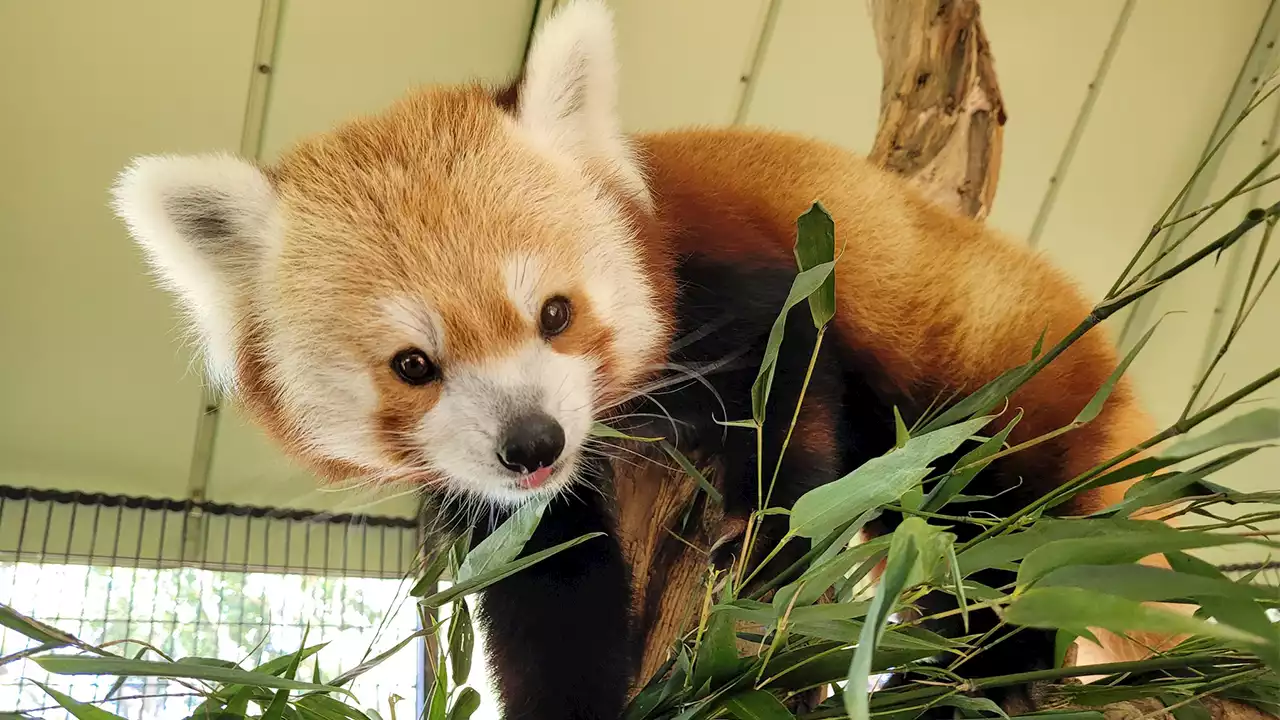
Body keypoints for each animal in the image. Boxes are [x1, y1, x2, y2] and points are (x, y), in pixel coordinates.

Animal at [110, 1, 1172, 717]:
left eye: (555, 314)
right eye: (414, 365)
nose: (532, 443)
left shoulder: (759, 288)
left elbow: (788, 421)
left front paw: (765, 551)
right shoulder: (515, 509)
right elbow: (550, 596)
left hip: (1005, 373)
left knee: (1008, 530)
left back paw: (993, 670)